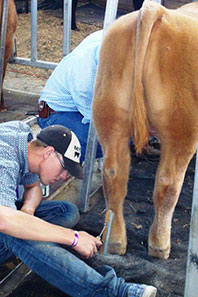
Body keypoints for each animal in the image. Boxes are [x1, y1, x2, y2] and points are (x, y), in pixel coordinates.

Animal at [93, 0, 198, 258]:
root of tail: (157, 11)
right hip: (182, 128)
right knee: (168, 183)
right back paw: (160, 246)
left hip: (110, 115)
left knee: (114, 174)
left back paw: (115, 242)